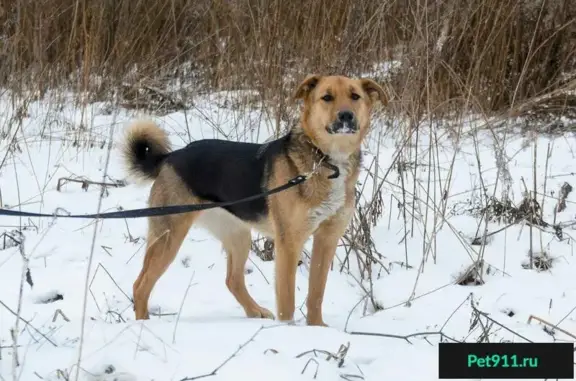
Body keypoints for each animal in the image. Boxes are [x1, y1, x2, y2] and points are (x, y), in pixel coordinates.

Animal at [121, 75, 388, 326]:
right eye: (327, 97)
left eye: (355, 96)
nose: (346, 116)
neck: (327, 160)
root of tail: (169, 157)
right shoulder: (289, 243)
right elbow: (287, 299)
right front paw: (289, 329)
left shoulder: (327, 239)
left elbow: (316, 294)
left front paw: (316, 328)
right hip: (169, 236)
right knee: (140, 284)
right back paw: (143, 324)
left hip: (238, 235)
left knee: (233, 280)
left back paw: (255, 311)